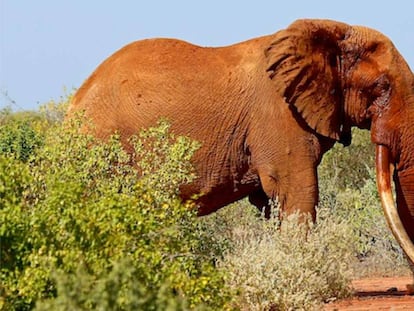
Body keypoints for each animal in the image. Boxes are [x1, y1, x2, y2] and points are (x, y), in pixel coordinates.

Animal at [68, 18, 414, 266]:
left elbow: (272, 203)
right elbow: (298, 193)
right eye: (382, 86)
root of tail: (74, 105)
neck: (330, 30)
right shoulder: (278, 115)